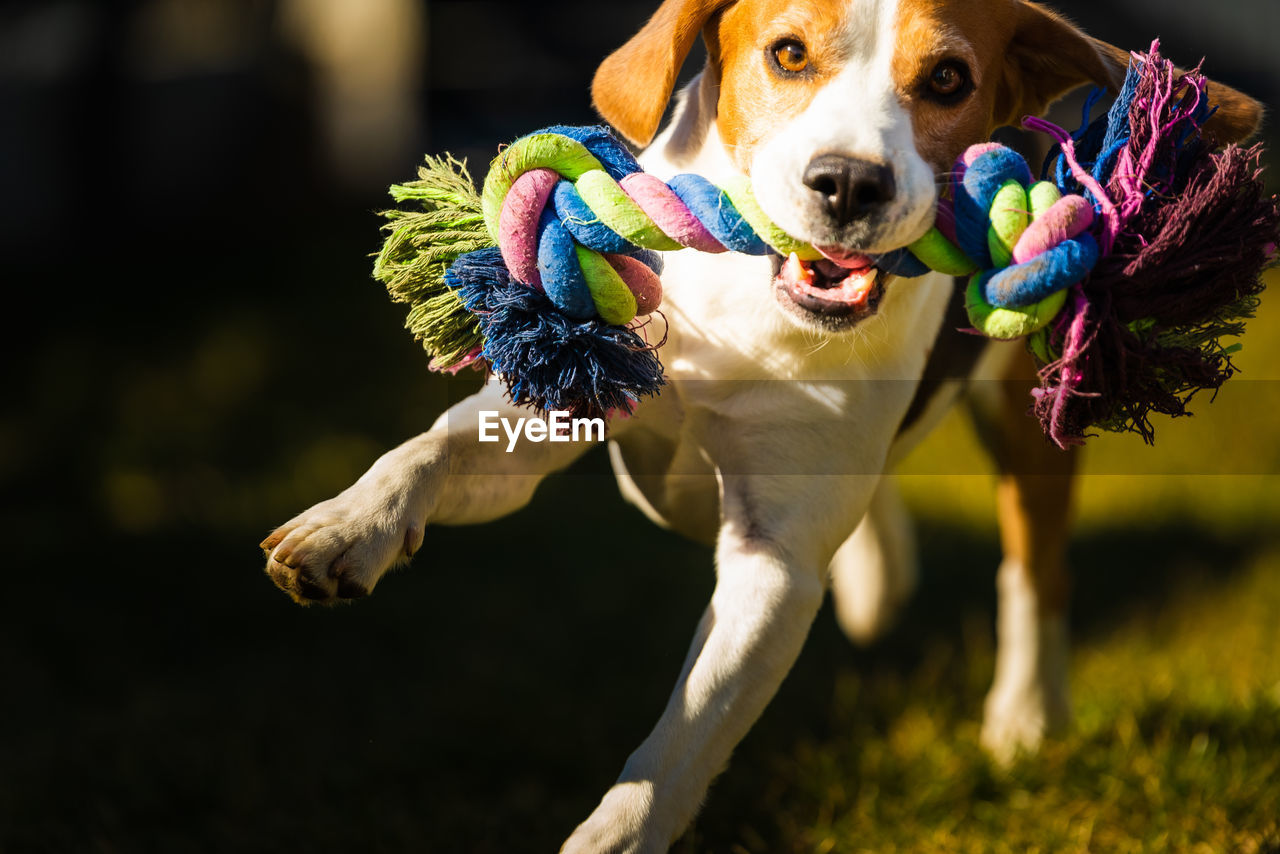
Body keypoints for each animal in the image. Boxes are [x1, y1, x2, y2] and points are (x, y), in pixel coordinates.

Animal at [259, 0, 1259, 850]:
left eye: (947, 79)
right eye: (787, 54)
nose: (849, 182)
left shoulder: (773, 558)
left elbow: (682, 742)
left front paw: (614, 835)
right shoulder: (557, 394)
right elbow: (427, 448)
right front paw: (347, 527)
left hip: (1025, 413)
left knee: (1035, 565)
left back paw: (1023, 715)